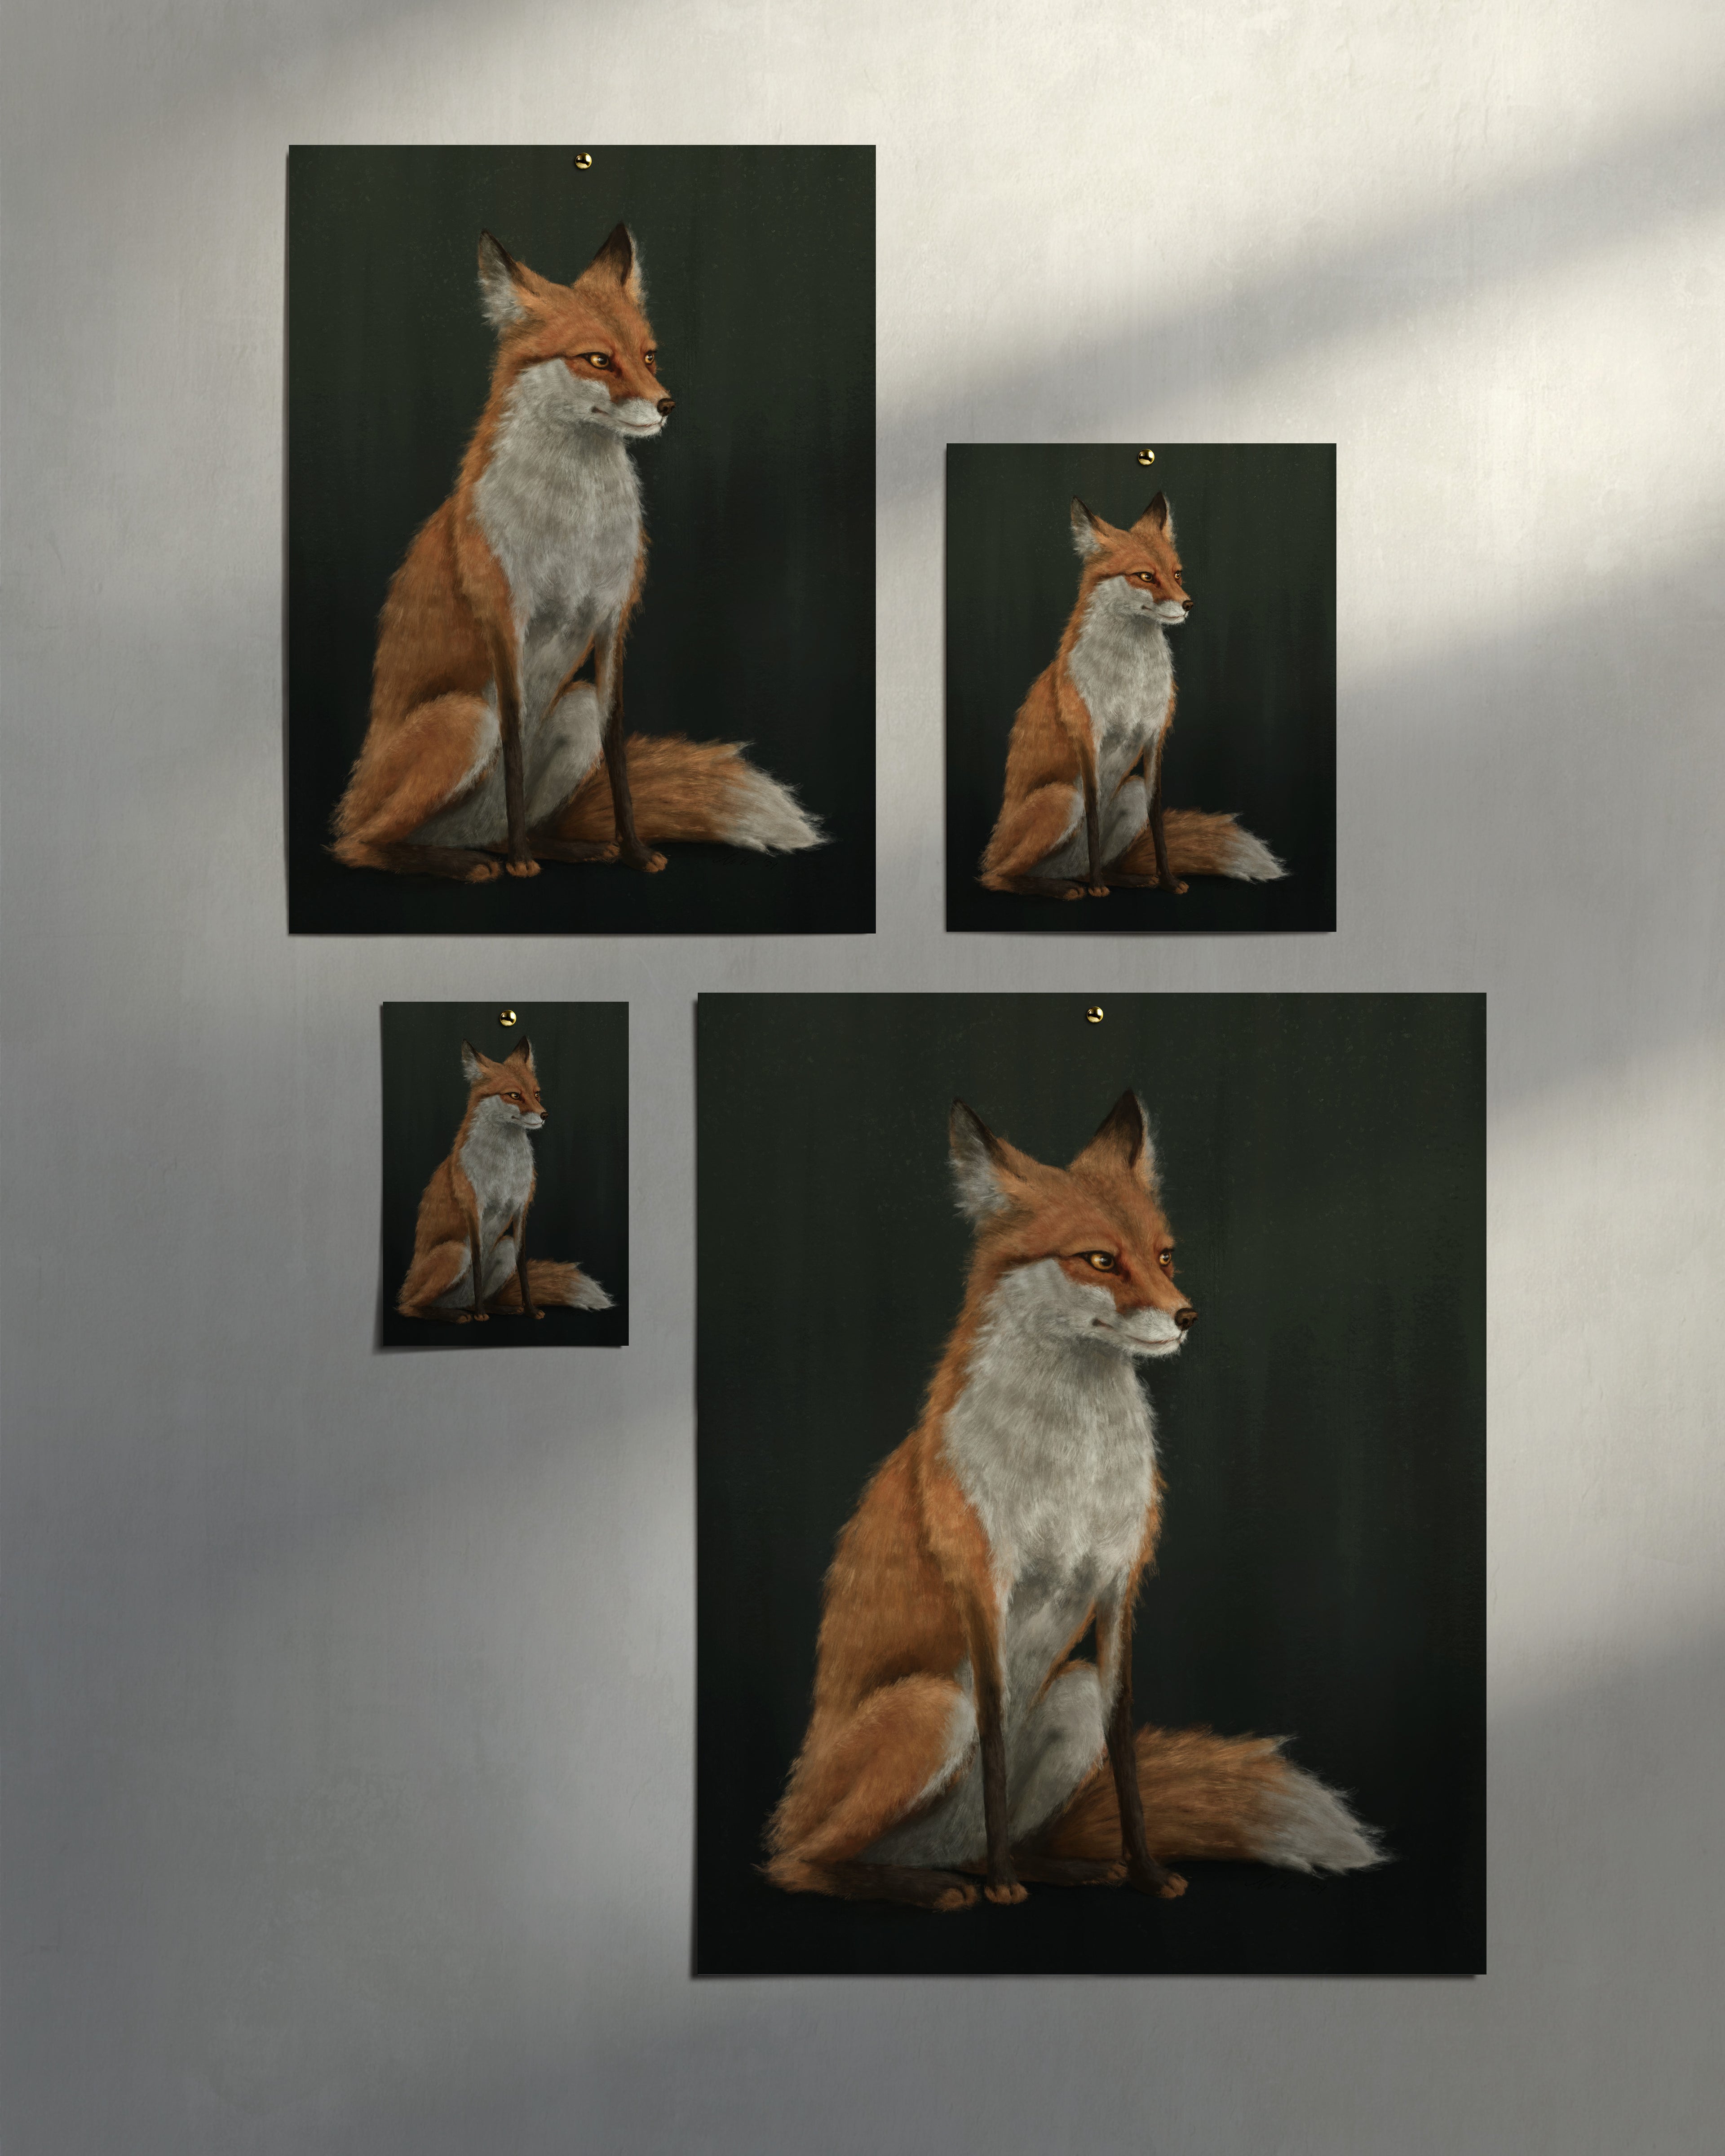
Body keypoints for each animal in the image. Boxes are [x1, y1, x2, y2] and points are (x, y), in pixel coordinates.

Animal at [333, 222, 823, 884]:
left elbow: (618, 754)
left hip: (574, 709)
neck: (575, 525)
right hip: (464, 720)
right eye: (597, 359)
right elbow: (514, 748)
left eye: (649, 356)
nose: (667, 405)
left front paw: (634, 852)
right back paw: (472, 861)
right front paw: (523, 864)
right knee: (359, 845)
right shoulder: (506, 621)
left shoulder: (613, 619)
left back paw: (562, 848)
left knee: (506, 825)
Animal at [396, 1039, 612, 1323]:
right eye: (514, 1095)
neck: (505, 1168)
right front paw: (481, 1315)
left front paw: (530, 1310)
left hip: (504, 1248)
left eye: (537, 1094)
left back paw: (497, 1308)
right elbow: (477, 1264)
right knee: (409, 1307)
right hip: (456, 1252)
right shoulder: (474, 1210)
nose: (545, 1115)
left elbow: (523, 1268)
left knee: (473, 1298)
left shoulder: (521, 1209)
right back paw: (459, 1314)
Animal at [764, 1092, 1381, 1912]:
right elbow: (994, 1743)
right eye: (1100, 1260)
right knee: (800, 1864)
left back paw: (1053, 1868)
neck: (1073, 1468)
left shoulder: (1119, 1584)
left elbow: (1125, 1754)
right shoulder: (985, 1585)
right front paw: (1005, 1888)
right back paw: (939, 1884)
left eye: (1164, 1256)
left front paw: (1145, 1873)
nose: (1187, 1316)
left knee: (988, 1839)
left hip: (1071, 1694)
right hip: (932, 1708)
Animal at [980, 493, 1285, 900]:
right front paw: (1098, 889)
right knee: (997, 877)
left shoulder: (1155, 738)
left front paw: (1168, 881)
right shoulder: (1088, 739)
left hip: (1131, 793)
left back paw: (1124, 879)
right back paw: (1066, 887)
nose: (1188, 604)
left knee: (1089, 864)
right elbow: (1093, 817)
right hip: (1062, 799)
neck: (1132, 679)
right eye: (1145, 576)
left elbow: (1158, 822)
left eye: (1177, 574)